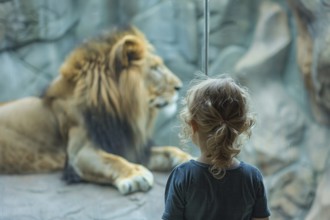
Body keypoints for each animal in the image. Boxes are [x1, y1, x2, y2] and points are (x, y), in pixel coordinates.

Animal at [0, 26, 191, 194]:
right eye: (155, 68)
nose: (179, 86)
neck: (120, 112)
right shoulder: (78, 153)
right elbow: (112, 160)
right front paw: (135, 175)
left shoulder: (128, 145)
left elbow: (168, 150)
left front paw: (187, 158)